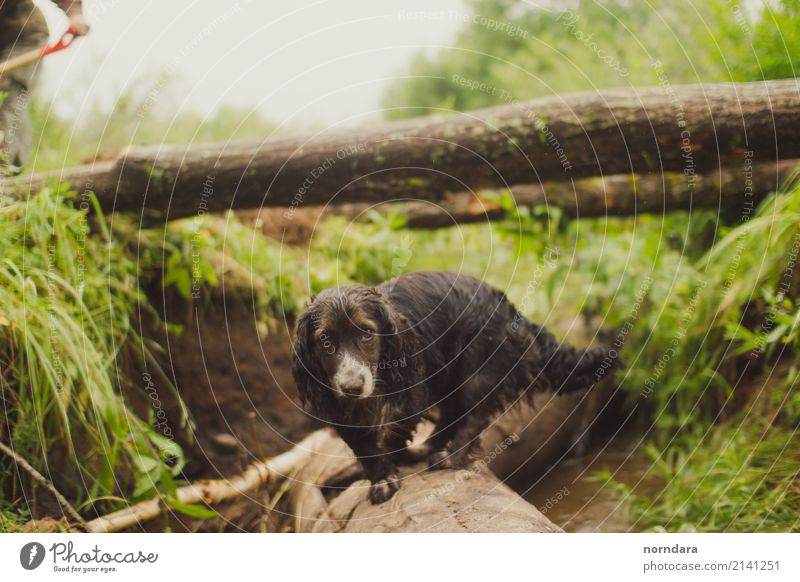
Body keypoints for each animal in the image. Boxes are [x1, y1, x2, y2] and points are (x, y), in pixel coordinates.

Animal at [290, 272, 616, 504]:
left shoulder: (409, 394)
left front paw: (394, 465)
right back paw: (428, 447)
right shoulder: (339, 409)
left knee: (473, 416)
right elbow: (365, 447)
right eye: (325, 341)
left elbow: (394, 433)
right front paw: (382, 477)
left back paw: (450, 456)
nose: (352, 387)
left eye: (367, 333)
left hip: (478, 372)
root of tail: (510, 309)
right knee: (452, 413)